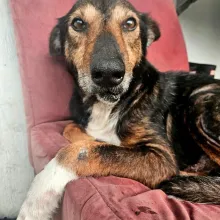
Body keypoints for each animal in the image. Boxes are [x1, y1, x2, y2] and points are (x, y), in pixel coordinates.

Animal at [17, 0, 220, 219]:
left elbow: (78, 152)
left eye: (130, 23)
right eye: (78, 23)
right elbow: (74, 131)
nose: (108, 74)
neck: (106, 106)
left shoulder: (162, 157)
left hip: (199, 99)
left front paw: (36, 202)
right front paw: (98, 140)